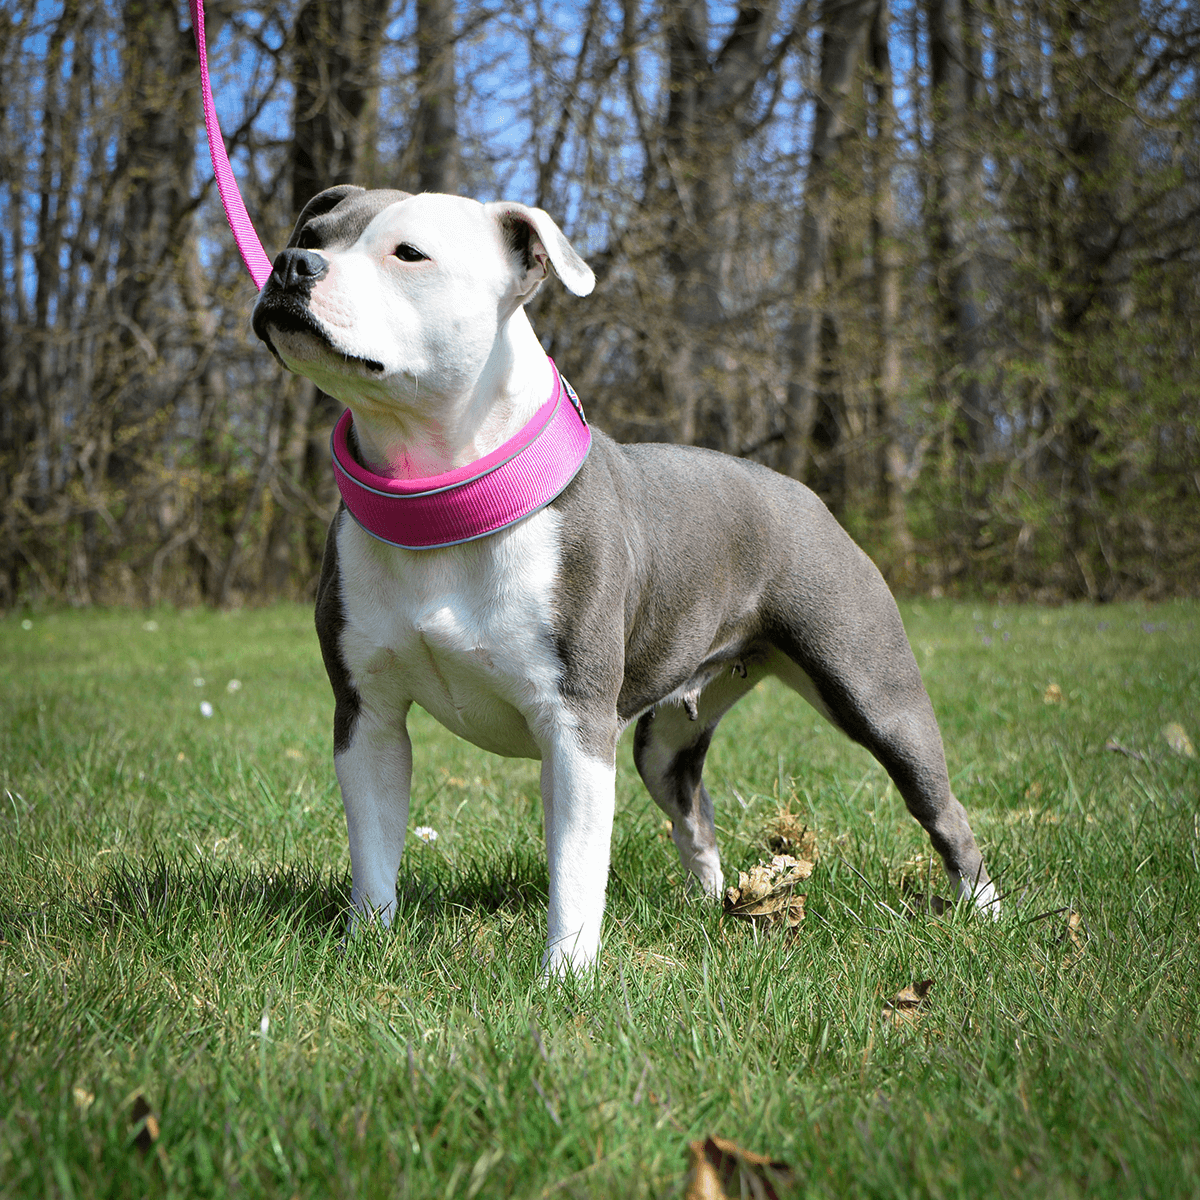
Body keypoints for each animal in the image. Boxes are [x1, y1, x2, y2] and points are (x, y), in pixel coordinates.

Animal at [250, 184, 993, 974]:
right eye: (312, 233)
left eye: (409, 254)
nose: (290, 263)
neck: (446, 502)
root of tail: (803, 494)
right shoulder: (369, 718)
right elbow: (375, 849)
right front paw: (367, 945)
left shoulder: (576, 727)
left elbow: (576, 870)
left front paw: (565, 977)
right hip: (664, 743)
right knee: (694, 816)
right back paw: (713, 905)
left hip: (877, 697)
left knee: (941, 809)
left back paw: (985, 913)